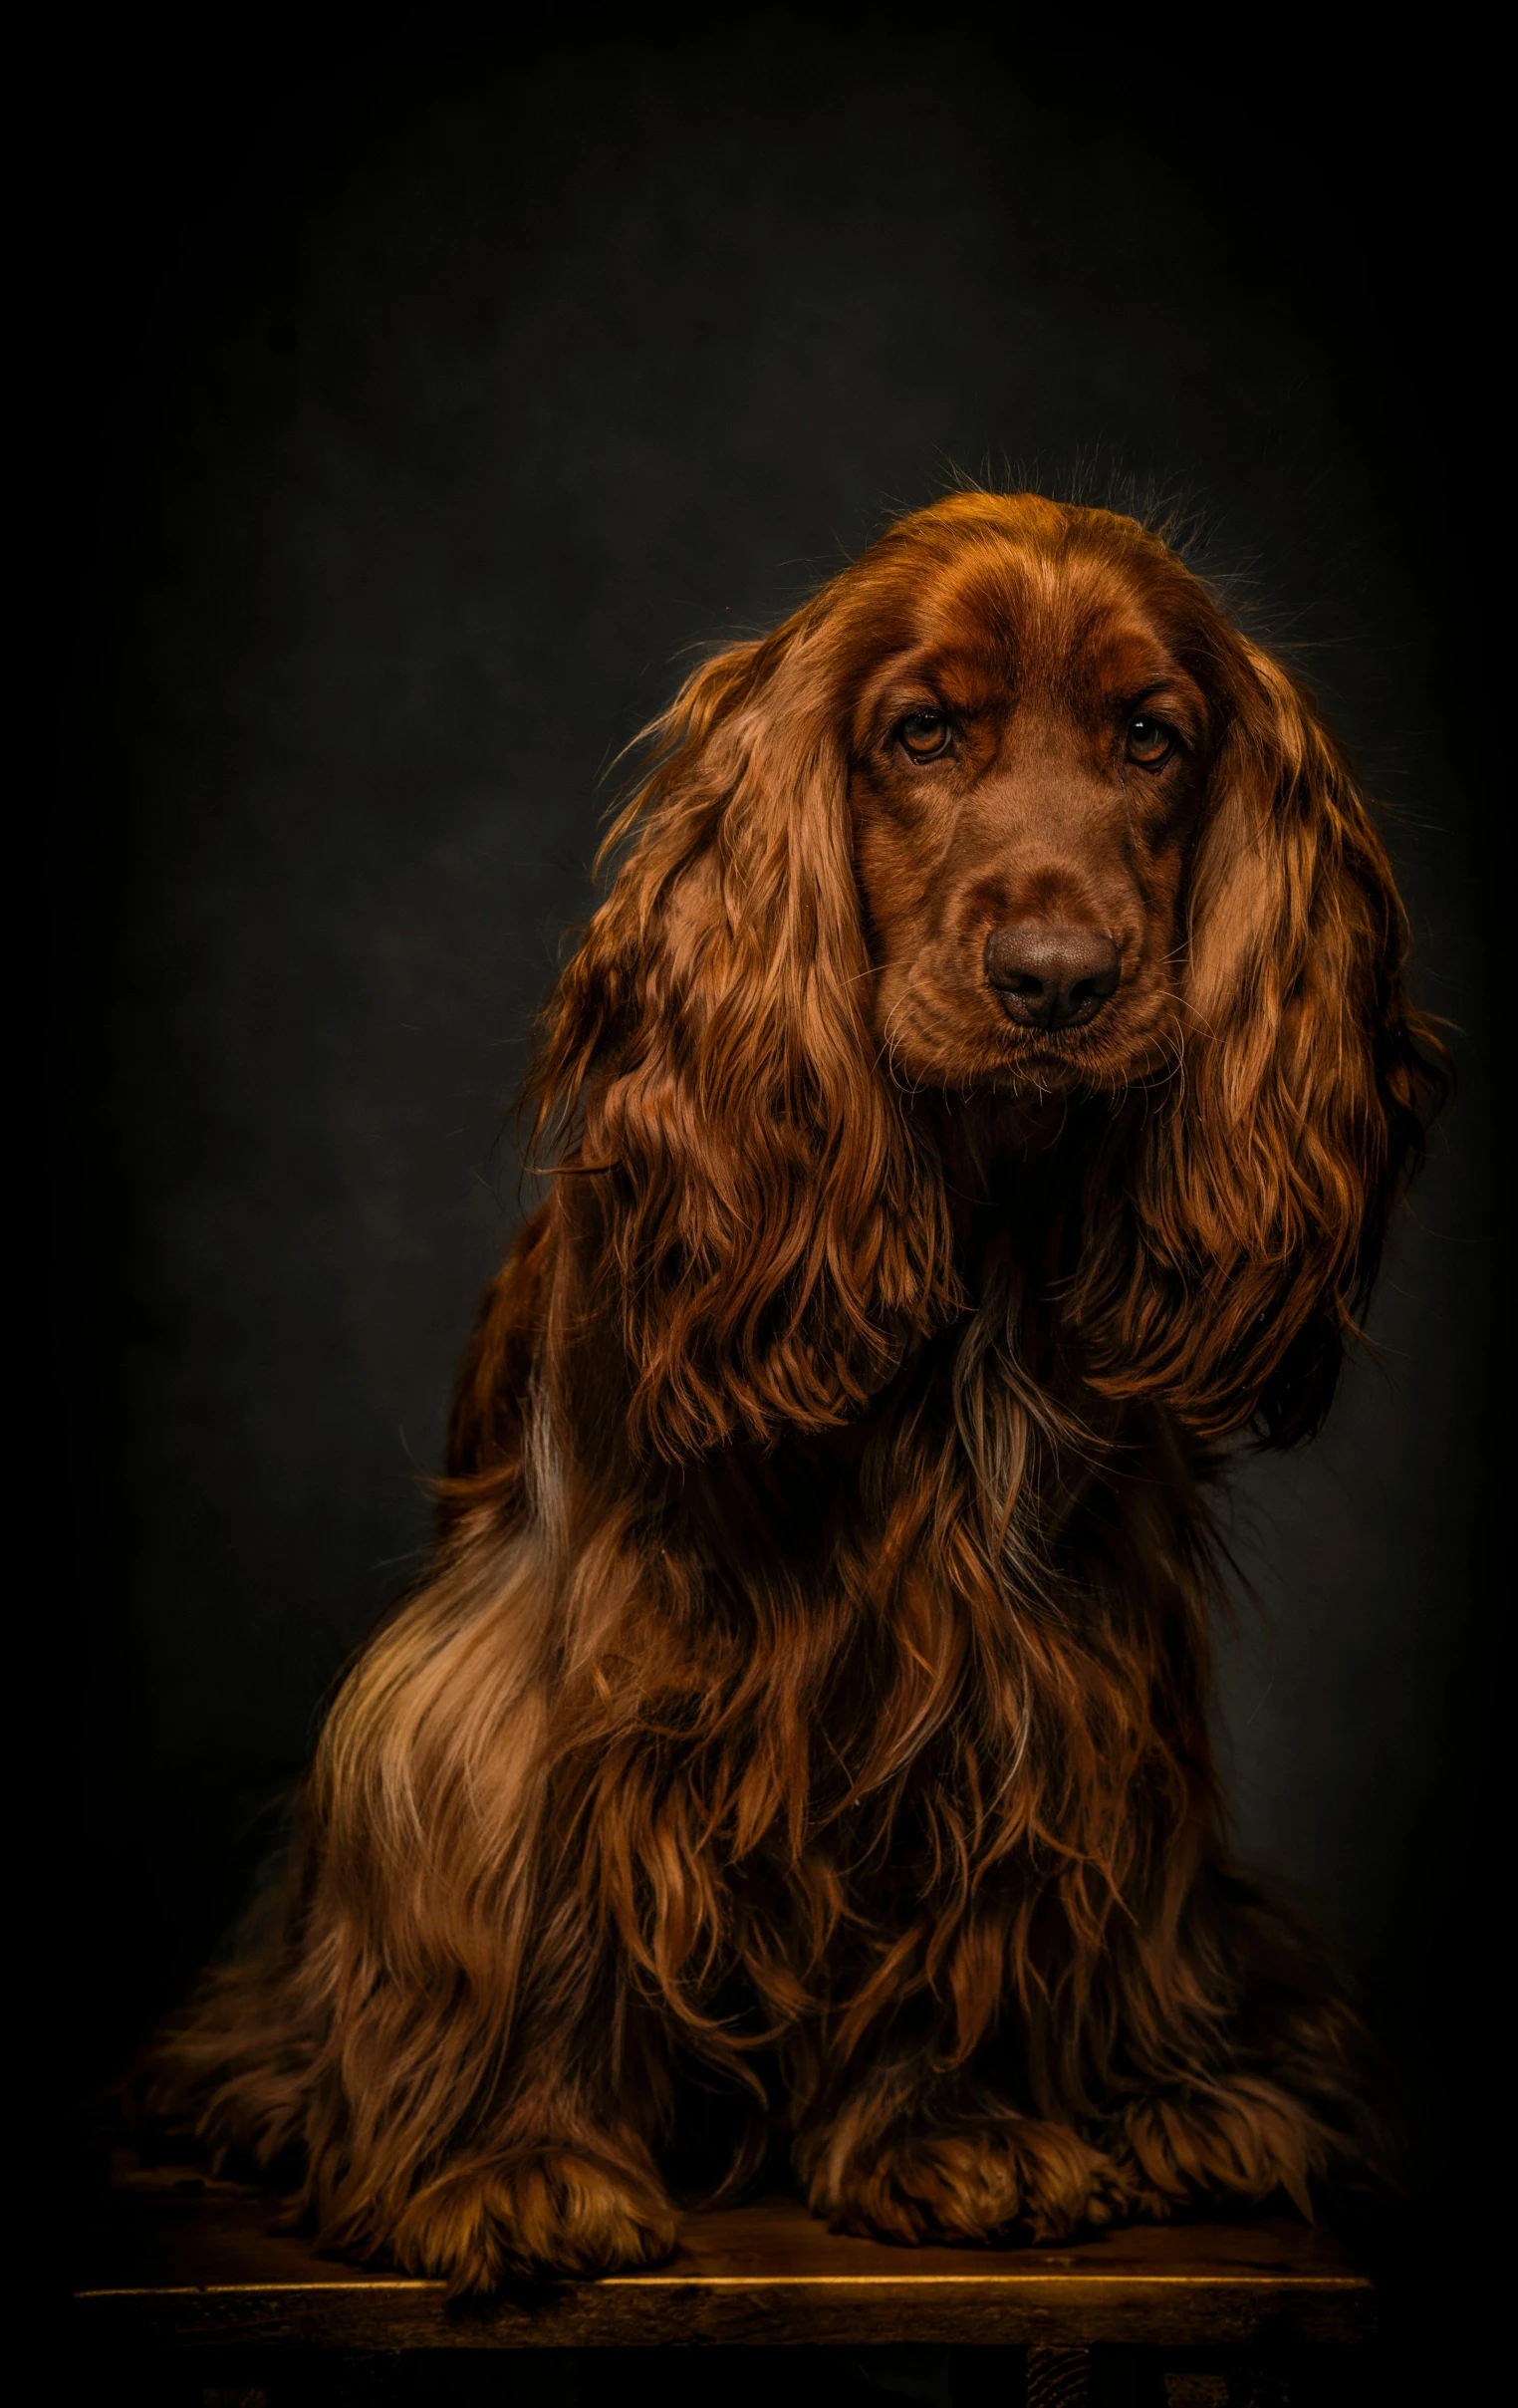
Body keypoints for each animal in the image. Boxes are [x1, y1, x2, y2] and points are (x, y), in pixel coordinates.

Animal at [159, 493, 1443, 2291]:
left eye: (1151, 736)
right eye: (920, 732)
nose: (1056, 977)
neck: (973, 1224)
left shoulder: (1020, 1663)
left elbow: (970, 1877)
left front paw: (950, 2132)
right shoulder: (547, 1658)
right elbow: (541, 1881)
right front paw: (513, 2162)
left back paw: (1189, 2096)